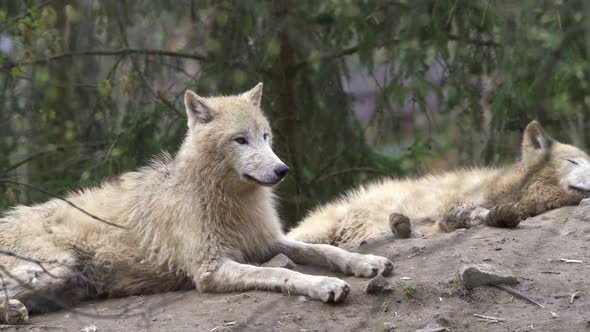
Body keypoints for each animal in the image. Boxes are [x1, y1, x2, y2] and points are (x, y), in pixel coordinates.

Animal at [0, 83, 394, 324]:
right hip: (56, 267)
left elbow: (324, 249)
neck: (230, 201)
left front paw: (366, 262)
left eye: (265, 137)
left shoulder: (265, 241)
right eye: (240, 140)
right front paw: (324, 285)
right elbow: (283, 273)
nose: (282, 170)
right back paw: (13, 312)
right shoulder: (210, 270)